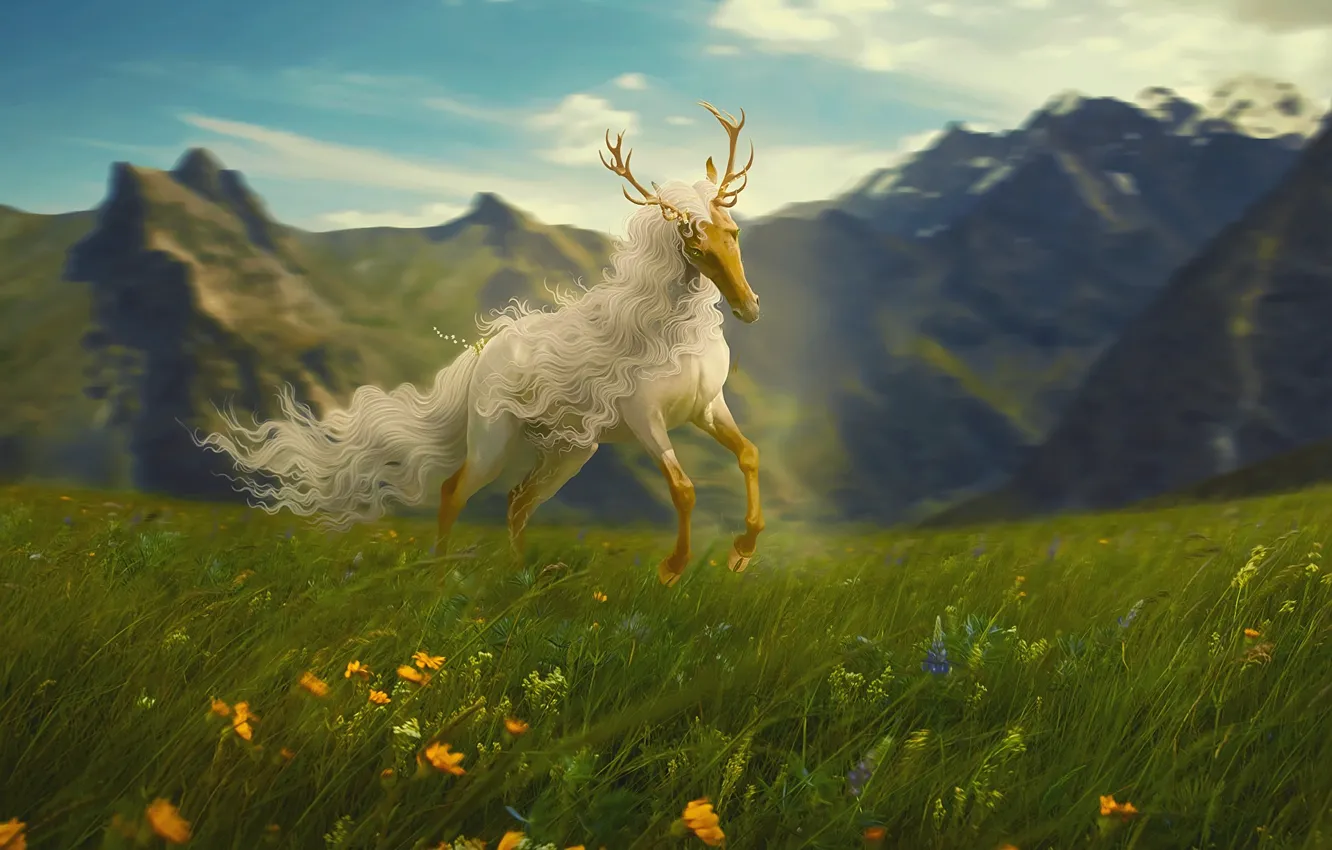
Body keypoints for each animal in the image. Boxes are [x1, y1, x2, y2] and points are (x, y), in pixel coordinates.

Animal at [194, 100, 765, 587]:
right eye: (694, 245)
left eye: (733, 233)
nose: (749, 308)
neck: (675, 337)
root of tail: (481, 358)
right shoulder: (647, 421)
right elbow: (684, 489)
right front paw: (673, 568)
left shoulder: (707, 408)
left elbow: (749, 454)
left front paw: (742, 552)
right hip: (495, 441)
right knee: (456, 490)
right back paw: (442, 574)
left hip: (568, 451)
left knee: (516, 501)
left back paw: (519, 575)